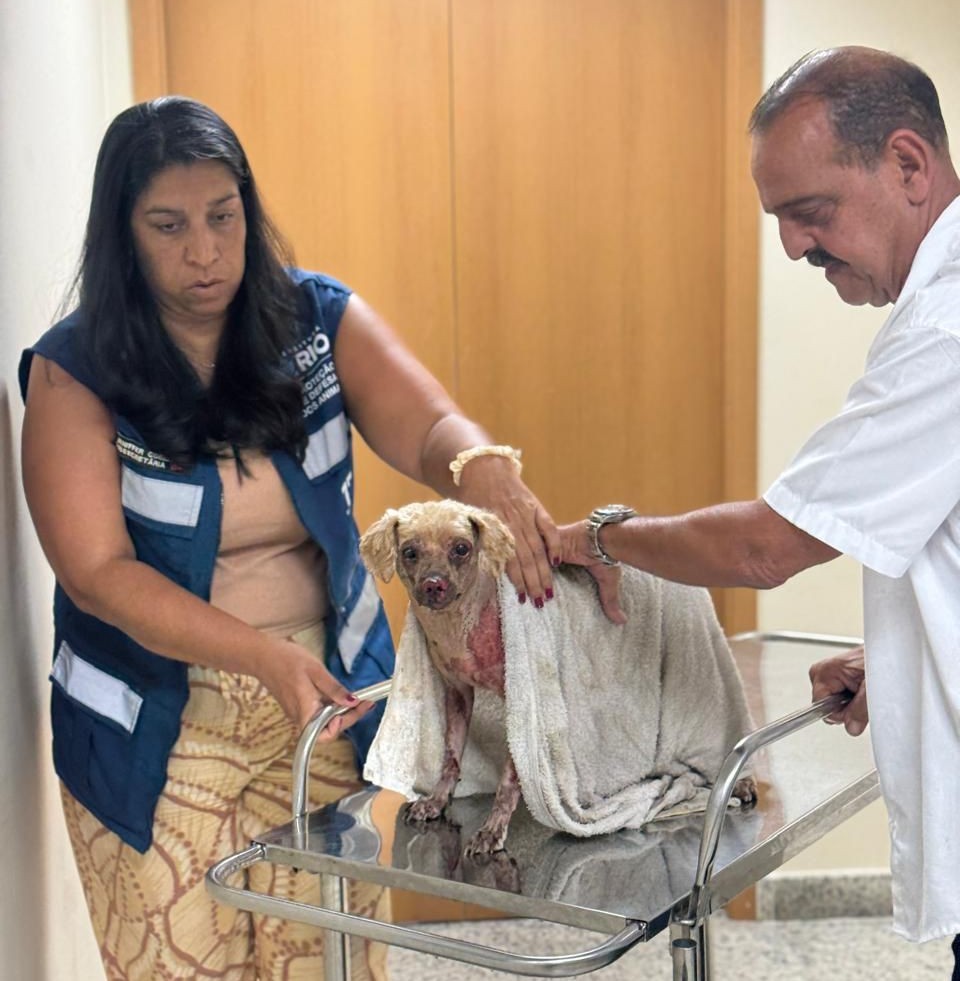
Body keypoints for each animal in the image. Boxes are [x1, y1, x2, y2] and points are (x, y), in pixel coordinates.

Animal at [359, 499, 757, 857]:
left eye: (461, 548)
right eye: (410, 552)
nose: (434, 585)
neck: (463, 625)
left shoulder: (519, 700)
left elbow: (509, 780)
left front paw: (492, 831)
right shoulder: (457, 690)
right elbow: (451, 756)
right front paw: (437, 801)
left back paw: (738, 782)